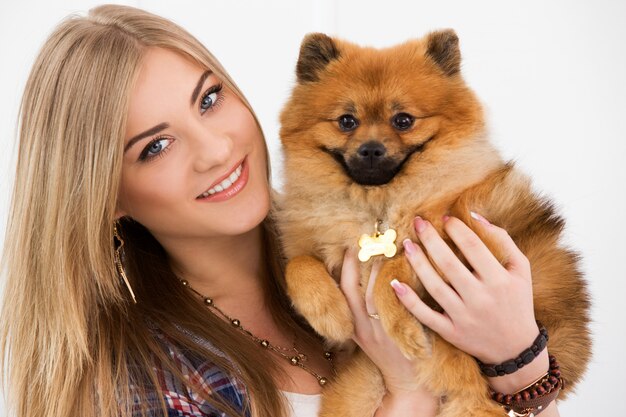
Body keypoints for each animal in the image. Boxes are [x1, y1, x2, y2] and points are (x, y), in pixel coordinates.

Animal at [274, 30, 588, 416]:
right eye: (347, 121)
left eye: (403, 120)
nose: (371, 149)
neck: (377, 207)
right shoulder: (311, 245)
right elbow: (299, 266)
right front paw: (331, 314)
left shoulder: (460, 231)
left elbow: (394, 266)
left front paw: (403, 329)